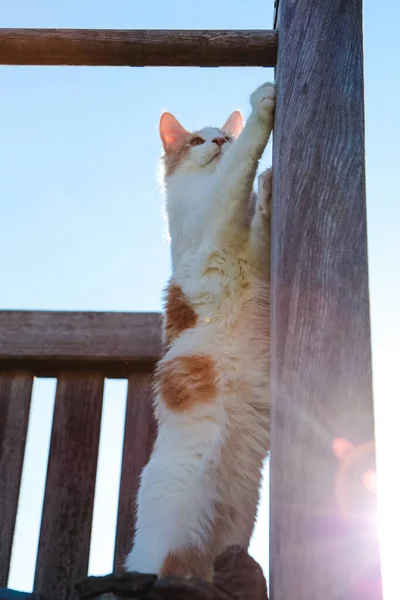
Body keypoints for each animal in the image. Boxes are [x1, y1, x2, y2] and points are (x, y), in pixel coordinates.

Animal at [125, 81, 276, 580]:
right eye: (196, 141)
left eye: (221, 134)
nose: (221, 140)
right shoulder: (217, 216)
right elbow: (240, 166)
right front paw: (261, 105)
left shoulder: (254, 253)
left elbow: (259, 220)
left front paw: (267, 191)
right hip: (177, 531)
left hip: (233, 533)